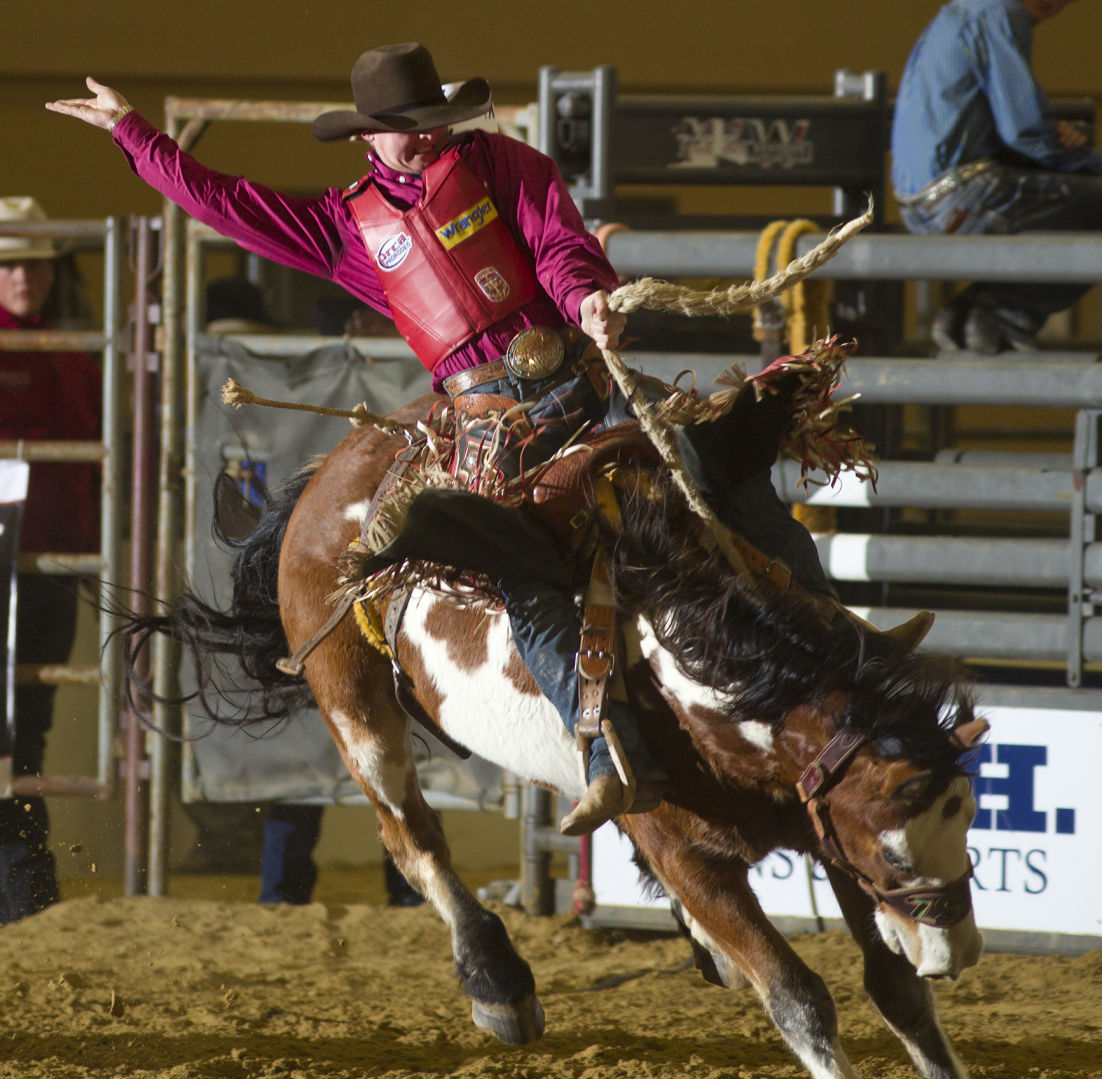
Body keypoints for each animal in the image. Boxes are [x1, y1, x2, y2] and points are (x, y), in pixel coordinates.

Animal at [144, 394, 991, 1079]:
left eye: (968, 820)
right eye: (898, 852)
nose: (959, 954)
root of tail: (336, 465)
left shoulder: (826, 826)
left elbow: (898, 991)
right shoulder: (690, 856)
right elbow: (798, 997)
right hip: (352, 703)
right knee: (412, 836)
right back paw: (499, 984)